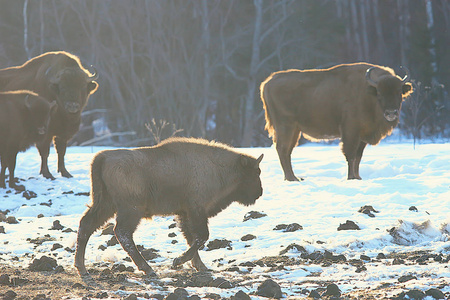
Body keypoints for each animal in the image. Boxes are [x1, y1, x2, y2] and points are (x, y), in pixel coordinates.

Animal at [0, 51, 98, 180]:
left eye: (82, 86)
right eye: (62, 87)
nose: (72, 105)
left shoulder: (62, 134)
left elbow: (61, 151)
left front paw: (66, 173)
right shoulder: (45, 133)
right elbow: (45, 152)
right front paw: (47, 174)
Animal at [74, 138, 264, 276]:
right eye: (255, 173)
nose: (259, 192)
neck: (218, 168)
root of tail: (103, 157)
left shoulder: (184, 213)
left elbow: (191, 238)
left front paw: (200, 266)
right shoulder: (196, 210)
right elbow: (201, 237)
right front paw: (178, 261)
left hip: (105, 205)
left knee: (86, 225)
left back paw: (82, 269)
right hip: (130, 210)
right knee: (122, 233)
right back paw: (148, 269)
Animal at [260, 62, 412, 180]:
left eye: (399, 92)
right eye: (379, 93)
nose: (391, 113)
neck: (368, 94)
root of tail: (267, 82)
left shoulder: (362, 135)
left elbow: (358, 157)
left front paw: (358, 177)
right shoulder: (350, 132)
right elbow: (350, 155)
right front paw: (351, 177)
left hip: (294, 130)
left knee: (287, 151)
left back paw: (293, 177)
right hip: (286, 127)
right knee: (283, 149)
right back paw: (291, 178)